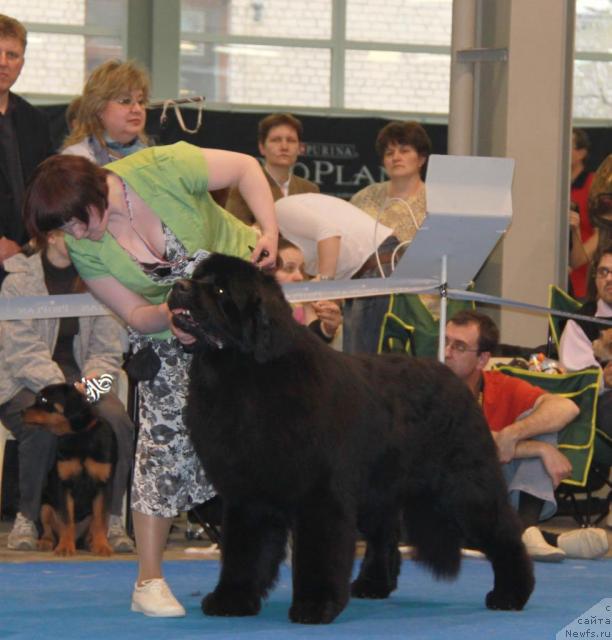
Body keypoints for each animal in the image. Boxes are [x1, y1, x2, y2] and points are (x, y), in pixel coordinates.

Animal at [22, 384, 117, 556]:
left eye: (43, 399)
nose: (21, 412)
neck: (80, 435)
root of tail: (78, 540)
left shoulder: (103, 485)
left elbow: (101, 520)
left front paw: (102, 546)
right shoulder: (63, 485)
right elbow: (66, 520)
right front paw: (65, 547)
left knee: (92, 526)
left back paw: (90, 542)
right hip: (45, 505)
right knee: (48, 528)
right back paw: (46, 542)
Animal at [169, 254, 536, 624]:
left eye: (220, 290)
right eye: (196, 276)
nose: (178, 286)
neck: (244, 377)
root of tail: (457, 381)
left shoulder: (320, 494)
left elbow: (317, 552)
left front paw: (315, 605)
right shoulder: (248, 493)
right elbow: (244, 551)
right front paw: (232, 599)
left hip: (462, 488)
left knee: (505, 533)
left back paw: (511, 594)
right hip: (379, 489)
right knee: (384, 535)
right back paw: (374, 584)